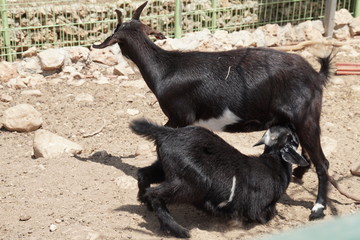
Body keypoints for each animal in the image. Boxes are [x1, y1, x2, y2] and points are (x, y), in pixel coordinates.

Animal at [93, 1, 332, 219]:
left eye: (116, 35)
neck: (166, 68)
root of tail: (316, 75)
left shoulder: (179, 117)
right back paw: (300, 172)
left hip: (306, 118)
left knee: (323, 163)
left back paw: (318, 208)